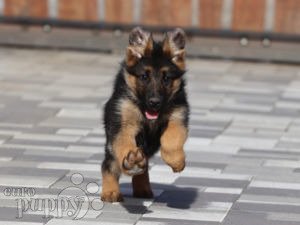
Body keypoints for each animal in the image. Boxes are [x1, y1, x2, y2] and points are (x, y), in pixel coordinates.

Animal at [101, 26, 190, 202]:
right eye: (144, 77)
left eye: (166, 78)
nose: (154, 102)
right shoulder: (122, 124)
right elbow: (125, 144)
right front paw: (131, 161)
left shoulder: (178, 117)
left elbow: (172, 139)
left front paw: (176, 161)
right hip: (111, 148)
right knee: (108, 166)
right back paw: (111, 191)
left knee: (144, 168)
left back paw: (142, 187)